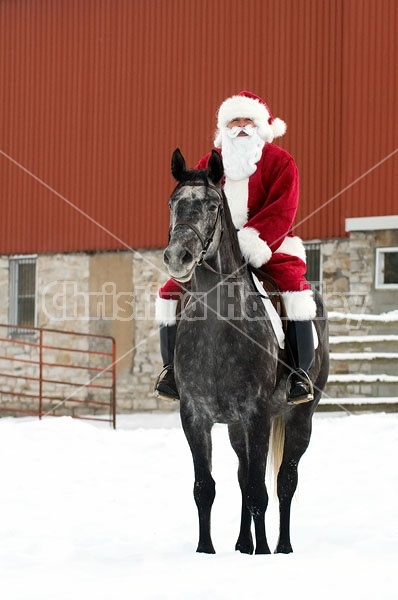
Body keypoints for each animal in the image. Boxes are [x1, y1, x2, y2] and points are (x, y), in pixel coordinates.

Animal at [162, 149, 330, 552]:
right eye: (173, 203)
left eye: (210, 205)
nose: (178, 256)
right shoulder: (195, 416)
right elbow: (205, 488)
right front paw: (205, 551)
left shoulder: (258, 415)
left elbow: (259, 492)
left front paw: (264, 553)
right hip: (237, 428)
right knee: (241, 475)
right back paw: (241, 543)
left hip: (300, 418)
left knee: (284, 482)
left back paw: (282, 547)